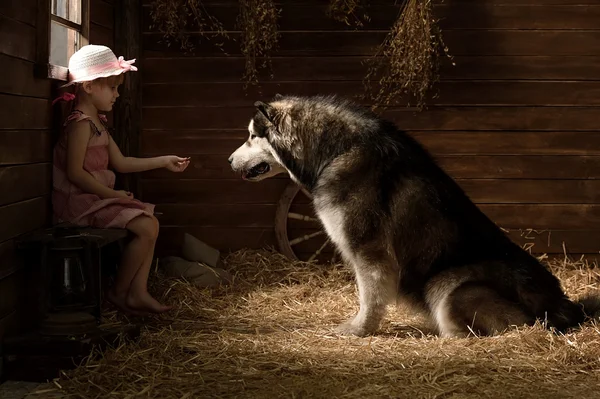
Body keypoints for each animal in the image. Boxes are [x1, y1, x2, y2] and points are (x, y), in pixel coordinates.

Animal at [227, 95, 596, 340]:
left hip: (446, 287)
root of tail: (562, 305)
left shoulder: (370, 252)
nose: (229, 161)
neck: (334, 151)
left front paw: (357, 330)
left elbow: (369, 298)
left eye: (252, 136)